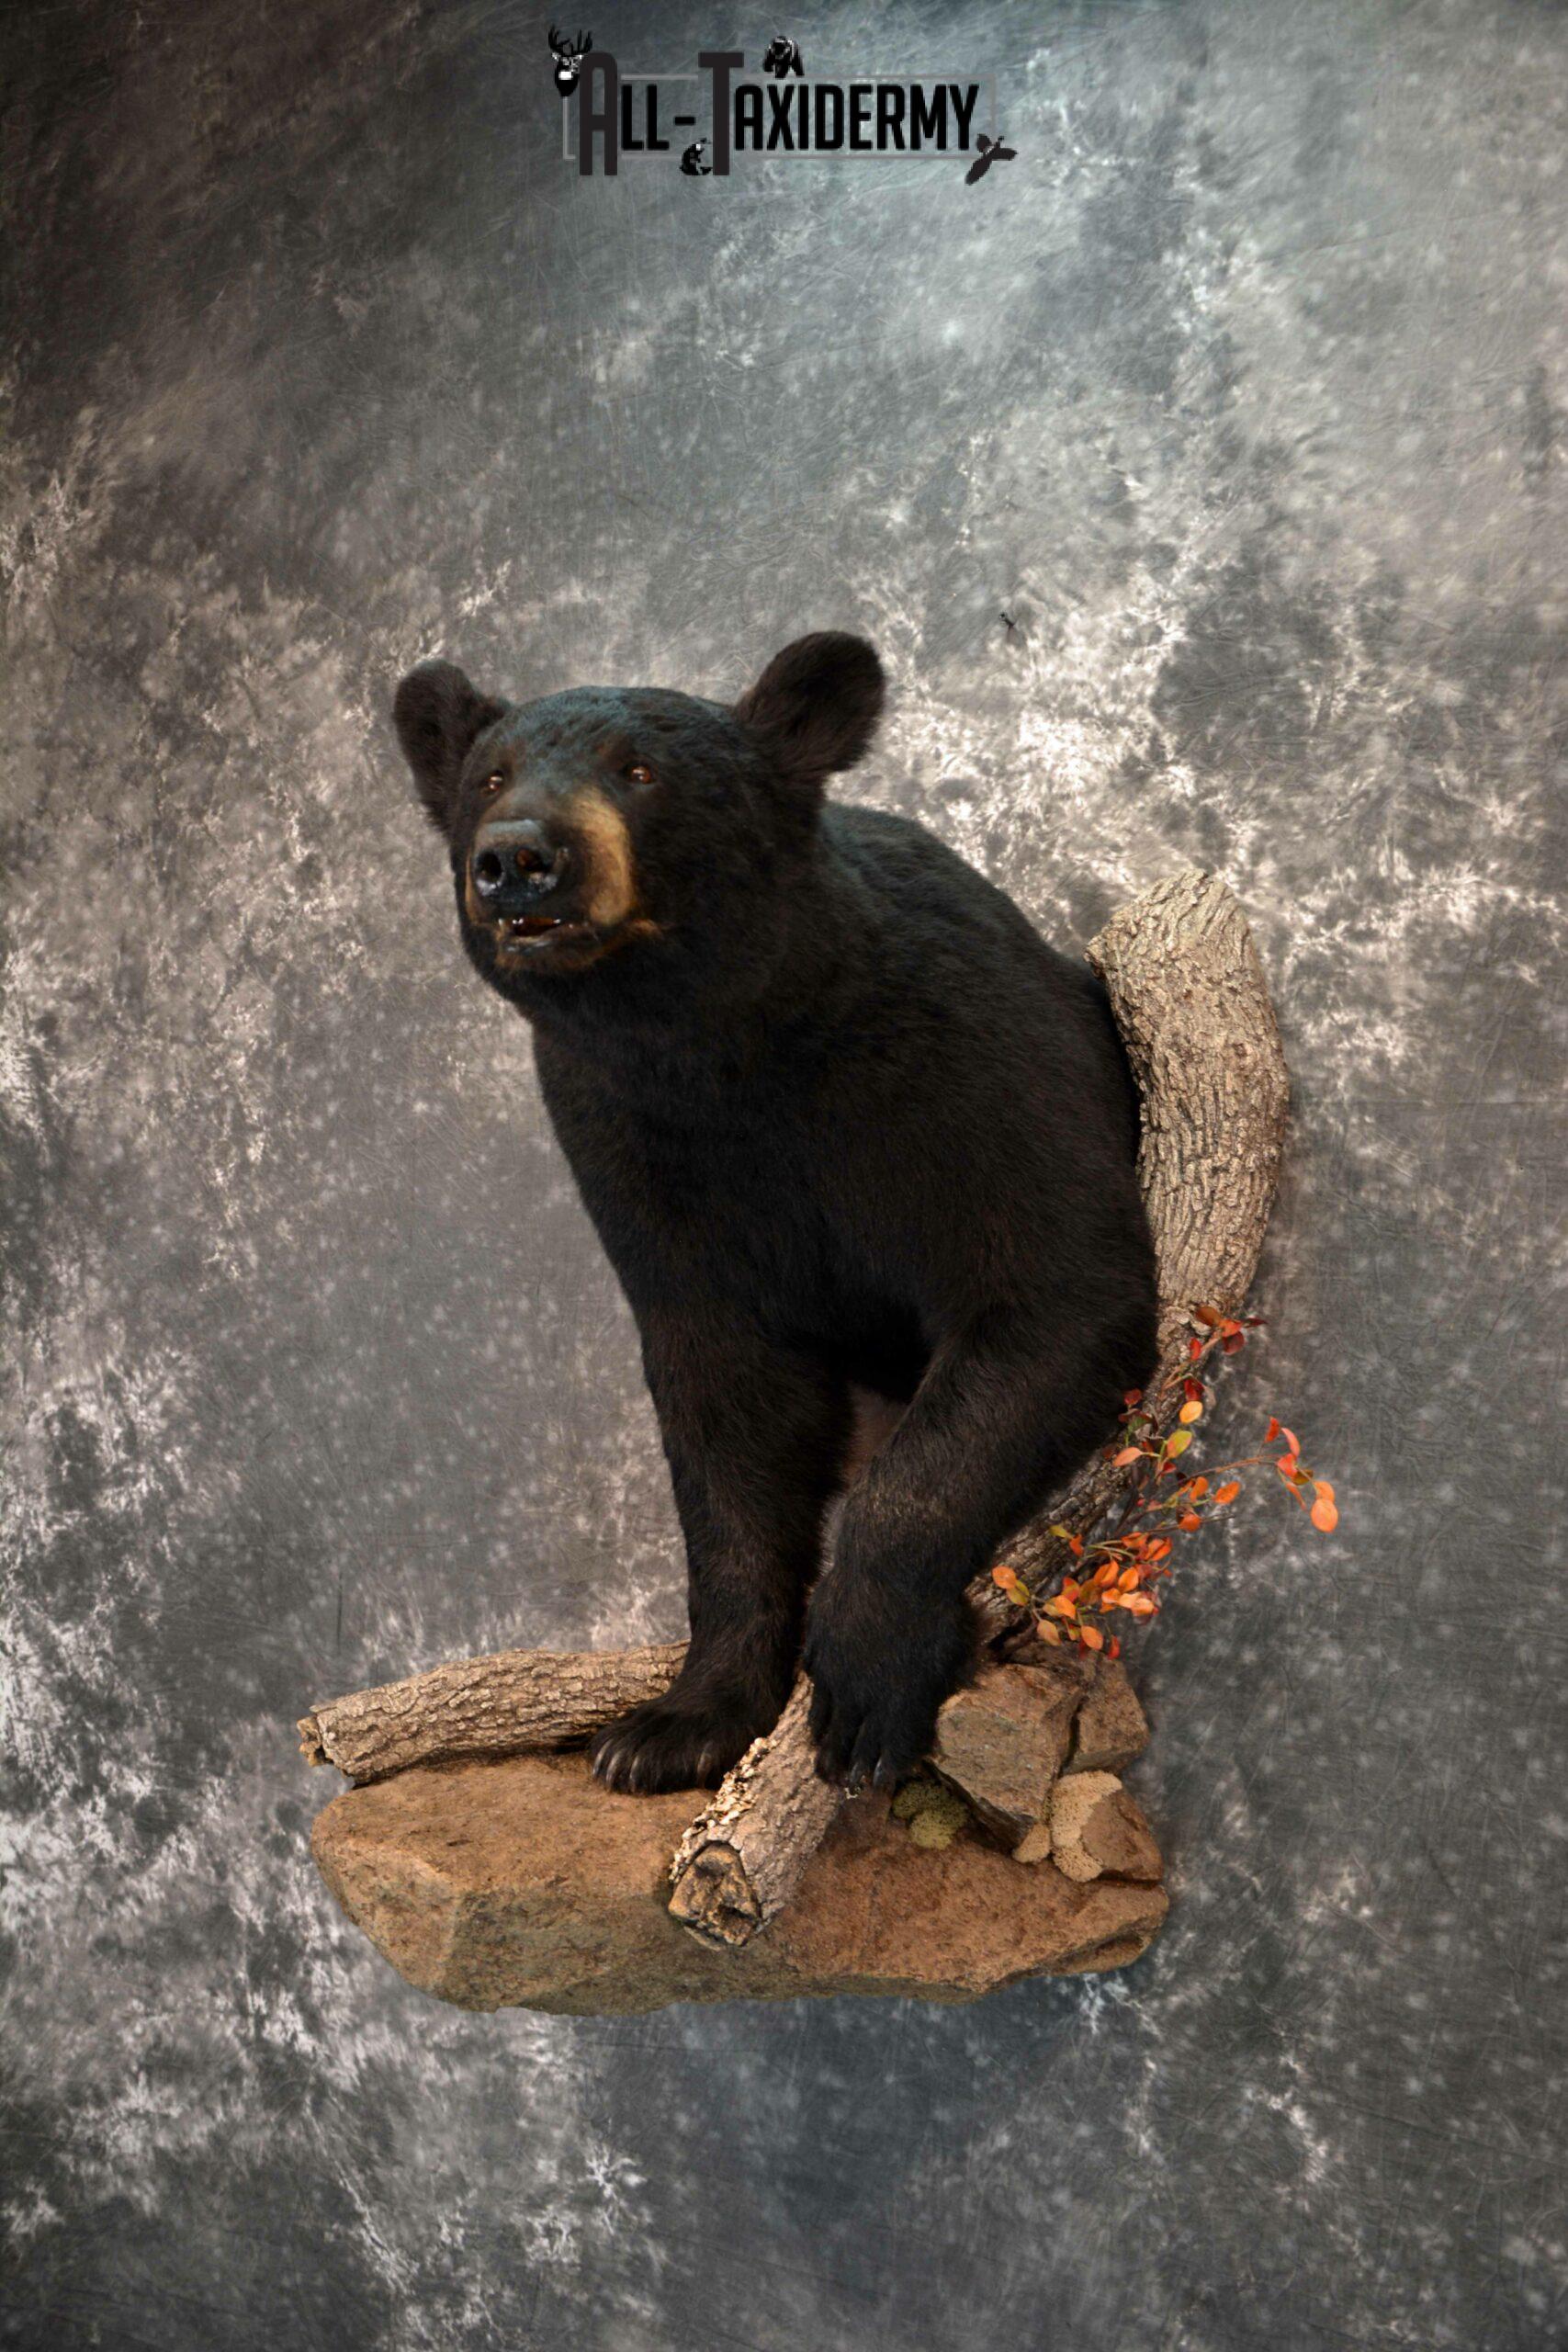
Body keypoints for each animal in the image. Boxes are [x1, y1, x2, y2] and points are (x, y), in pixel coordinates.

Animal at [392, 634, 1157, 1795]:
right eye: (489, 776)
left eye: (639, 770)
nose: (516, 857)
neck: (727, 1051)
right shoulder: (637, 1155)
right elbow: (728, 1408)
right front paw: (674, 1724)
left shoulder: (972, 1070)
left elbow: (1050, 1294)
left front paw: (865, 1681)